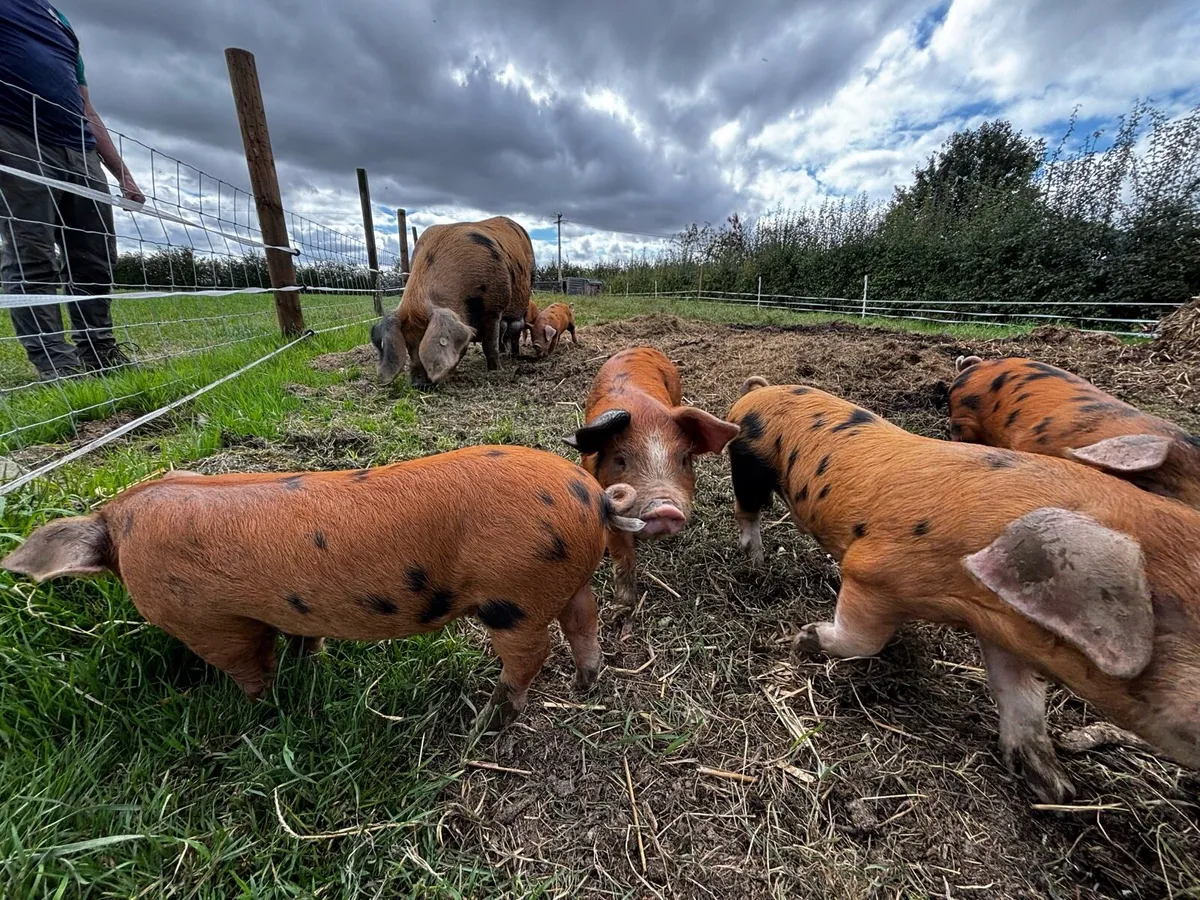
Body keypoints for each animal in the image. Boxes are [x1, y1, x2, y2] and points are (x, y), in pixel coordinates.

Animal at [1, 447, 644, 737]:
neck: (123, 528)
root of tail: (589, 492)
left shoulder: (212, 624)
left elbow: (250, 666)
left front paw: (256, 709)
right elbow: (302, 637)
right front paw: (311, 663)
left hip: (513, 595)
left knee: (531, 655)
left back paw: (485, 720)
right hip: (559, 581)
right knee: (583, 616)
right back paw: (586, 684)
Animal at [372, 216, 535, 389]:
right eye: (408, 345)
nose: (418, 384)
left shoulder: (494, 307)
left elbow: (490, 344)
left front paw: (496, 371)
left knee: (514, 330)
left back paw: (514, 355)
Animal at [565, 347, 740, 631]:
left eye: (684, 459)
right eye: (620, 460)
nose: (664, 507)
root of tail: (639, 347)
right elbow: (622, 558)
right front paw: (619, 613)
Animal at [727, 377, 1200, 802]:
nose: (1064, 794)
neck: (964, 600)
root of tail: (758, 391)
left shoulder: (1002, 627)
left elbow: (1020, 696)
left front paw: (1053, 788)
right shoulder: (869, 572)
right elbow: (862, 639)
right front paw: (804, 638)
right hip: (747, 465)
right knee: (748, 511)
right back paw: (755, 563)